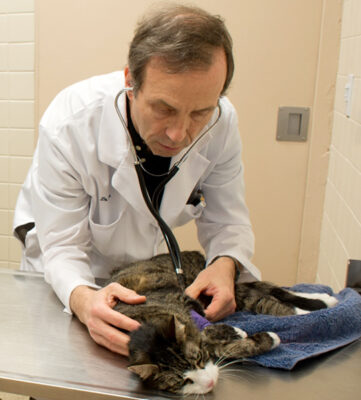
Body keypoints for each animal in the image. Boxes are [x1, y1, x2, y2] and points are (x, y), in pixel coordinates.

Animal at [108, 252, 336, 396]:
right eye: (183, 381)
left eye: (198, 360)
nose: (209, 383)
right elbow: (227, 348)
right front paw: (258, 338)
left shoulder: (187, 301)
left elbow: (207, 327)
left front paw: (243, 332)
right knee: (266, 294)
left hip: (221, 290)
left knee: (271, 297)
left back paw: (317, 305)